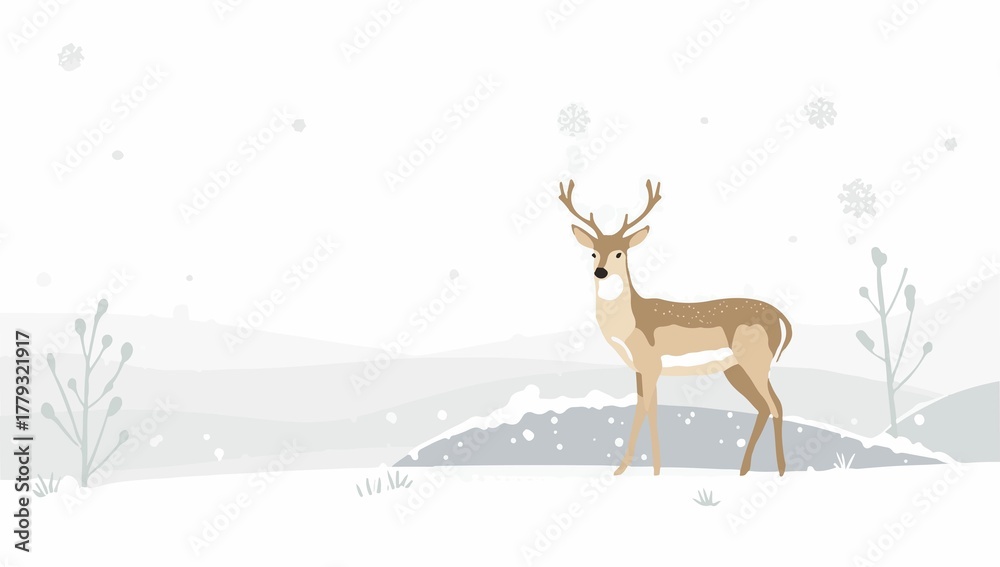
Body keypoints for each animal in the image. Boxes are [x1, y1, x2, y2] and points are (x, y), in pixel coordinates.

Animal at [559, 179, 792, 476]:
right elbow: (649, 408)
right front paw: (650, 470)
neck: (631, 324)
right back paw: (743, 469)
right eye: (593, 252)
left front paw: (631, 470)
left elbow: (643, 409)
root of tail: (782, 318)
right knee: (763, 406)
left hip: (757, 363)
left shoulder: (651, 364)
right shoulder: (641, 369)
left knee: (777, 405)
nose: (600, 271)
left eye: (620, 252)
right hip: (735, 369)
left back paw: (782, 469)